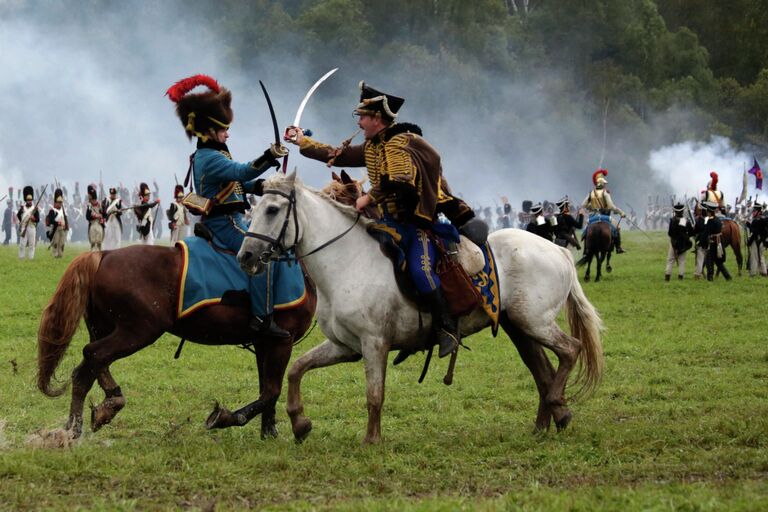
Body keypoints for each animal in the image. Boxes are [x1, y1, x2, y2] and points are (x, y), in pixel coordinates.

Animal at [36, 246, 316, 438]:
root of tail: (104, 254)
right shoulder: (281, 342)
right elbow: (271, 390)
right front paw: (225, 418)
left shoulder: (264, 343)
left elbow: (266, 388)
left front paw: (269, 432)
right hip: (137, 332)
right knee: (93, 356)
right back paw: (86, 421)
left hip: (105, 328)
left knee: (87, 369)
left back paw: (90, 417)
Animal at [237, 173, 604, 444]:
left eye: (272, 210)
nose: (246, 256)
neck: (347, 259)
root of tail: (558, 251)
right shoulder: (345, 346)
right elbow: (297, 369)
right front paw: (300, 423)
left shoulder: (374, 343)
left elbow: (374, 393)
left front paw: (371, 440)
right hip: (520, 327)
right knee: (542, 371)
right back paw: (546, 423)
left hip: (535, 322)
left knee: (570, 350)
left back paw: (559, 408)